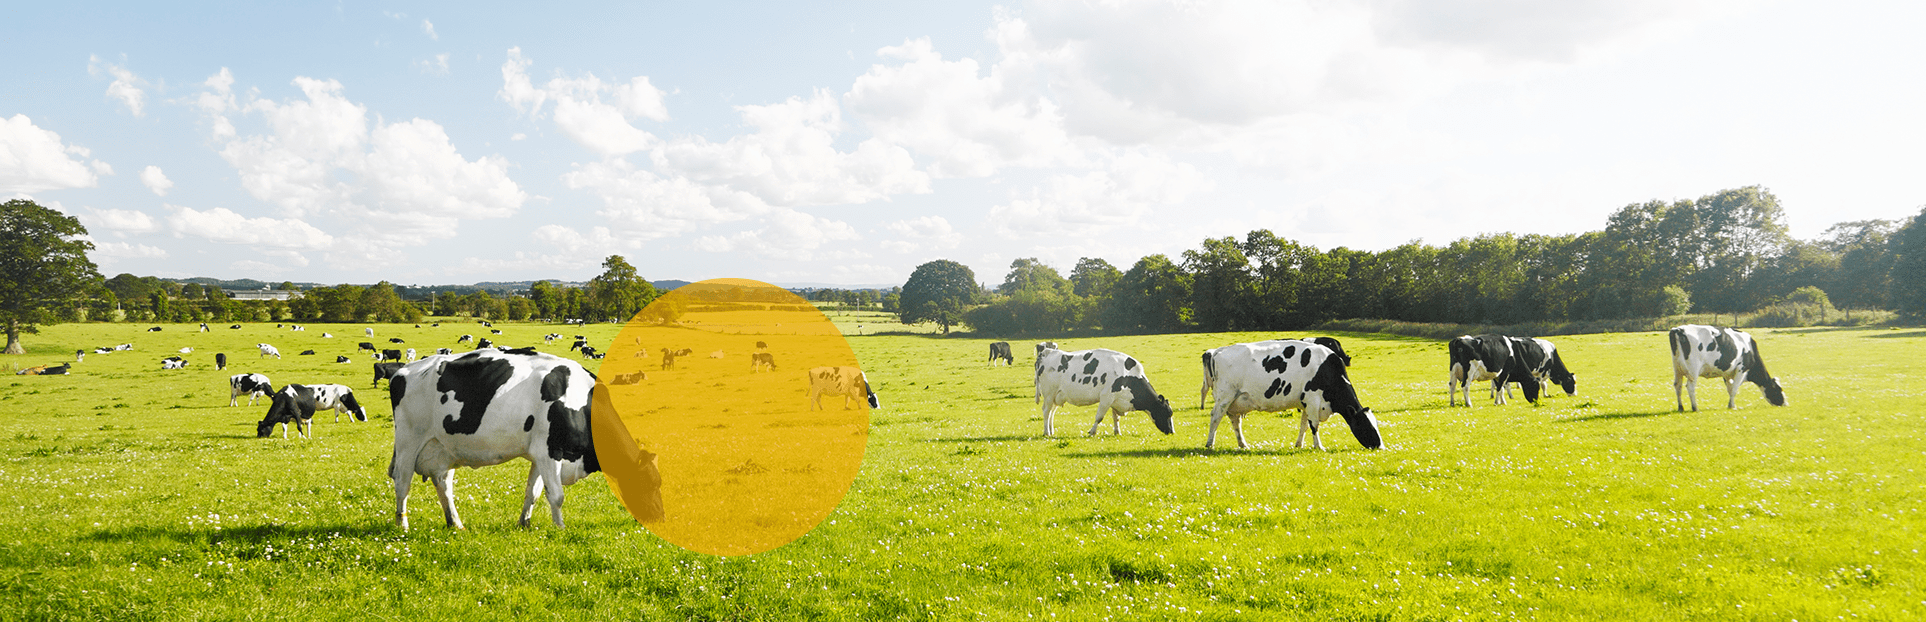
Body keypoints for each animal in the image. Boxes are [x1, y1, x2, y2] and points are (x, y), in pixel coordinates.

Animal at [387, 350, 643, 531]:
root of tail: (403, 371)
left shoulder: (539, 455)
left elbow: (533, 492)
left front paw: (524, 523)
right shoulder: (550, 451)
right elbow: (556, 495)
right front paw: (560, 528)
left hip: (443, 448)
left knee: (443, 484)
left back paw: (456, 523)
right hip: (408, 442)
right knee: (402, 484)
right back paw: (403, 526)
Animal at [1032, 346, 1178, 439]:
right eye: (1166, 413)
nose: (1172, 432)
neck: (1128, 376)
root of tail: (1047, 352)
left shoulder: (1116, 399)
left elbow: (1116, 417)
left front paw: (1117, 432)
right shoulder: (1106, 397)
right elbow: (1099, 417)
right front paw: (1092, 432)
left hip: (1057, 396)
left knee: (1051, 413)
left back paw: (1051, 431)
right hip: (1049, 394)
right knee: (1046, 411)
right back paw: (1046, 432)